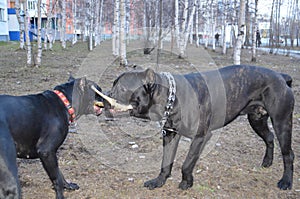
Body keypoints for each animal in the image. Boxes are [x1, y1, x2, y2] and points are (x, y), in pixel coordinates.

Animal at [102, 64, 292, 190]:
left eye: (122, 88)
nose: (105, 96)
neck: (171, 97)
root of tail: (282, 76)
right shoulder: (170, 135)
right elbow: (166, 162)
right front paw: (159, 181)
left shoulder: (201, 137)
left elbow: (187, 163)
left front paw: (186, 182)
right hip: (257, 120)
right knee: (269, 137)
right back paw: (267, 162)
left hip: (282, 122)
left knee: (288, 154)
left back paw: (286, 181)